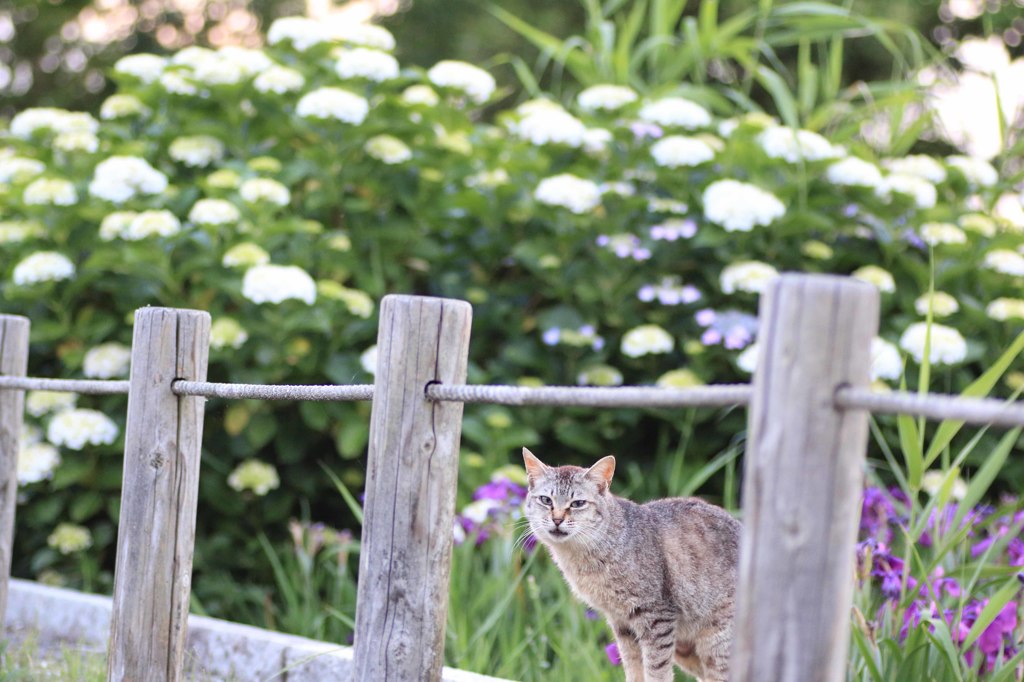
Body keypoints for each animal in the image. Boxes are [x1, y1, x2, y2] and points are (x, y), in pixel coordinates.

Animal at [524, 446, 741, 679]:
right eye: (546, 500)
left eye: (578, 503)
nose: (557, 519)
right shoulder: (621, 623)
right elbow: (633, 668)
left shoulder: (657, 616)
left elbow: (656, 671)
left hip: (717, 645)